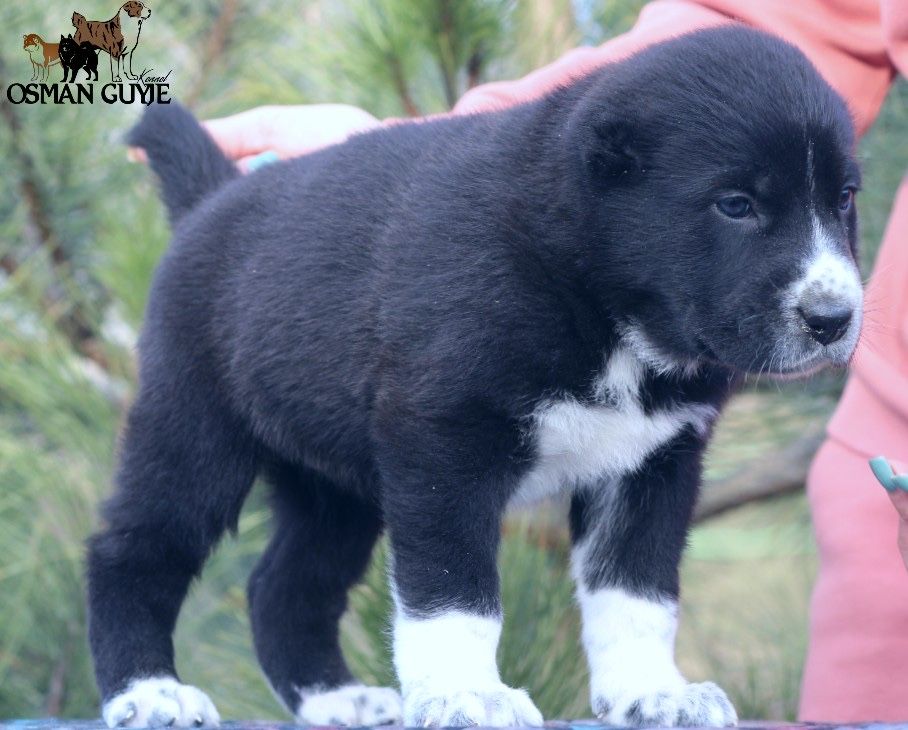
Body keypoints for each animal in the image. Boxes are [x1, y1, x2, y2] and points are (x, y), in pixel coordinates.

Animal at [88, 25, 860, 728]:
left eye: (846, 198)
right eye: (736, 204)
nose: (834, 318)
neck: (592, 294)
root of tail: (210, 200)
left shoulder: (652, 463)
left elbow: (636, 592)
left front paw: (652, 692)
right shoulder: (442, 445)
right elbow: (454, 591)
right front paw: (468, 694)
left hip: (332, 487)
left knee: (283, 587)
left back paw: (335, 699)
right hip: (192, 432)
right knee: (132, 551)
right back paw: (150, 692)